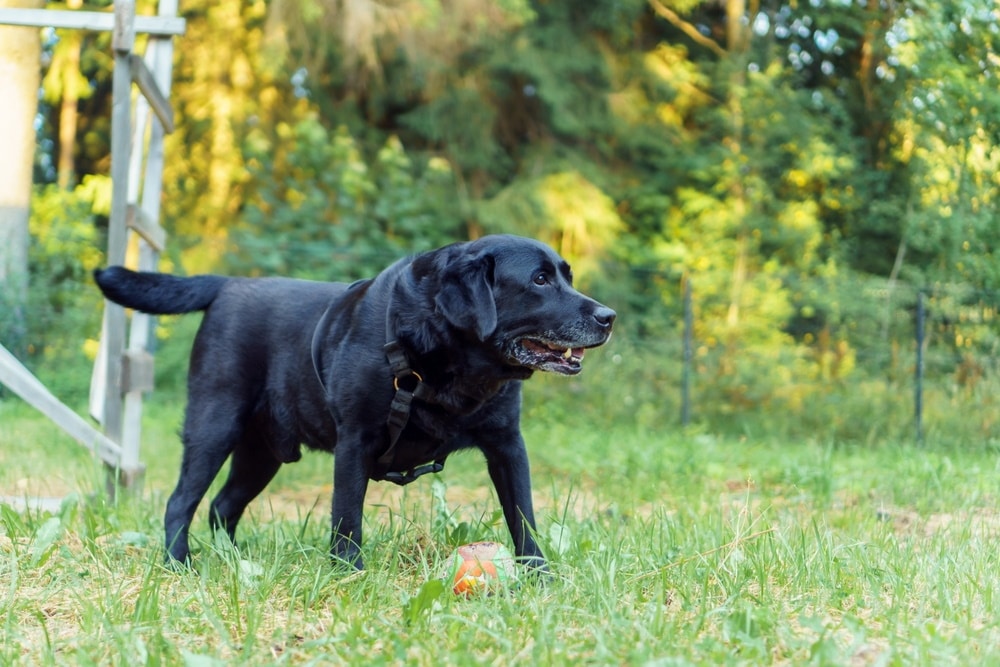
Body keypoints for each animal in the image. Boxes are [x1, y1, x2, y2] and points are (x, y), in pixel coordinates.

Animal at [94, 235, 612, 568]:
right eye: (540, 280)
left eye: (567, 276)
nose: (608, 316)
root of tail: (227, 283)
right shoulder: (355, 443)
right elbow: (347, 517)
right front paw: (349, 574)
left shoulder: (507, 444)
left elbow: (523, 514)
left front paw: (538, 575)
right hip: (213, 424)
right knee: (181, 500)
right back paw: (179, 564)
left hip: (261, 454)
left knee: (222, 505)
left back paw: (235, 561)